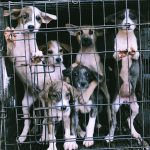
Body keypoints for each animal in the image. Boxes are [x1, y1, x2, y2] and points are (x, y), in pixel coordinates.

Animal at [3, 6, 57, 143]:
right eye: (24, 16)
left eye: (38, 18)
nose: (31, 27)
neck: (25, 40)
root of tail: (37, 95)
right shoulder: (11, 56)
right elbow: (10, 47)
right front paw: (9, 35)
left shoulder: (32, 65)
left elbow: (35, 59)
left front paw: (38, 55)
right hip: (25, 104)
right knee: (28, 121)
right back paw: (23, 136)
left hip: (45, 104)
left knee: (45, 121)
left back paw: (44, 137)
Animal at [105, 8, 141, 143]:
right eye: (121, 17)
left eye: (132, 17)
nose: (127, 25)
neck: (125, 37)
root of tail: (125, 100)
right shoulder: (114, 55)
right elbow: (116, 55)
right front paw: (122, 52)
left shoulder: (137, 55)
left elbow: (136, 54)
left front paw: (131, 51)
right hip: (115, 105)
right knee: (114, 122)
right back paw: (110, 136)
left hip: (136, 106)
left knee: (129, 119)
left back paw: (135, 133)